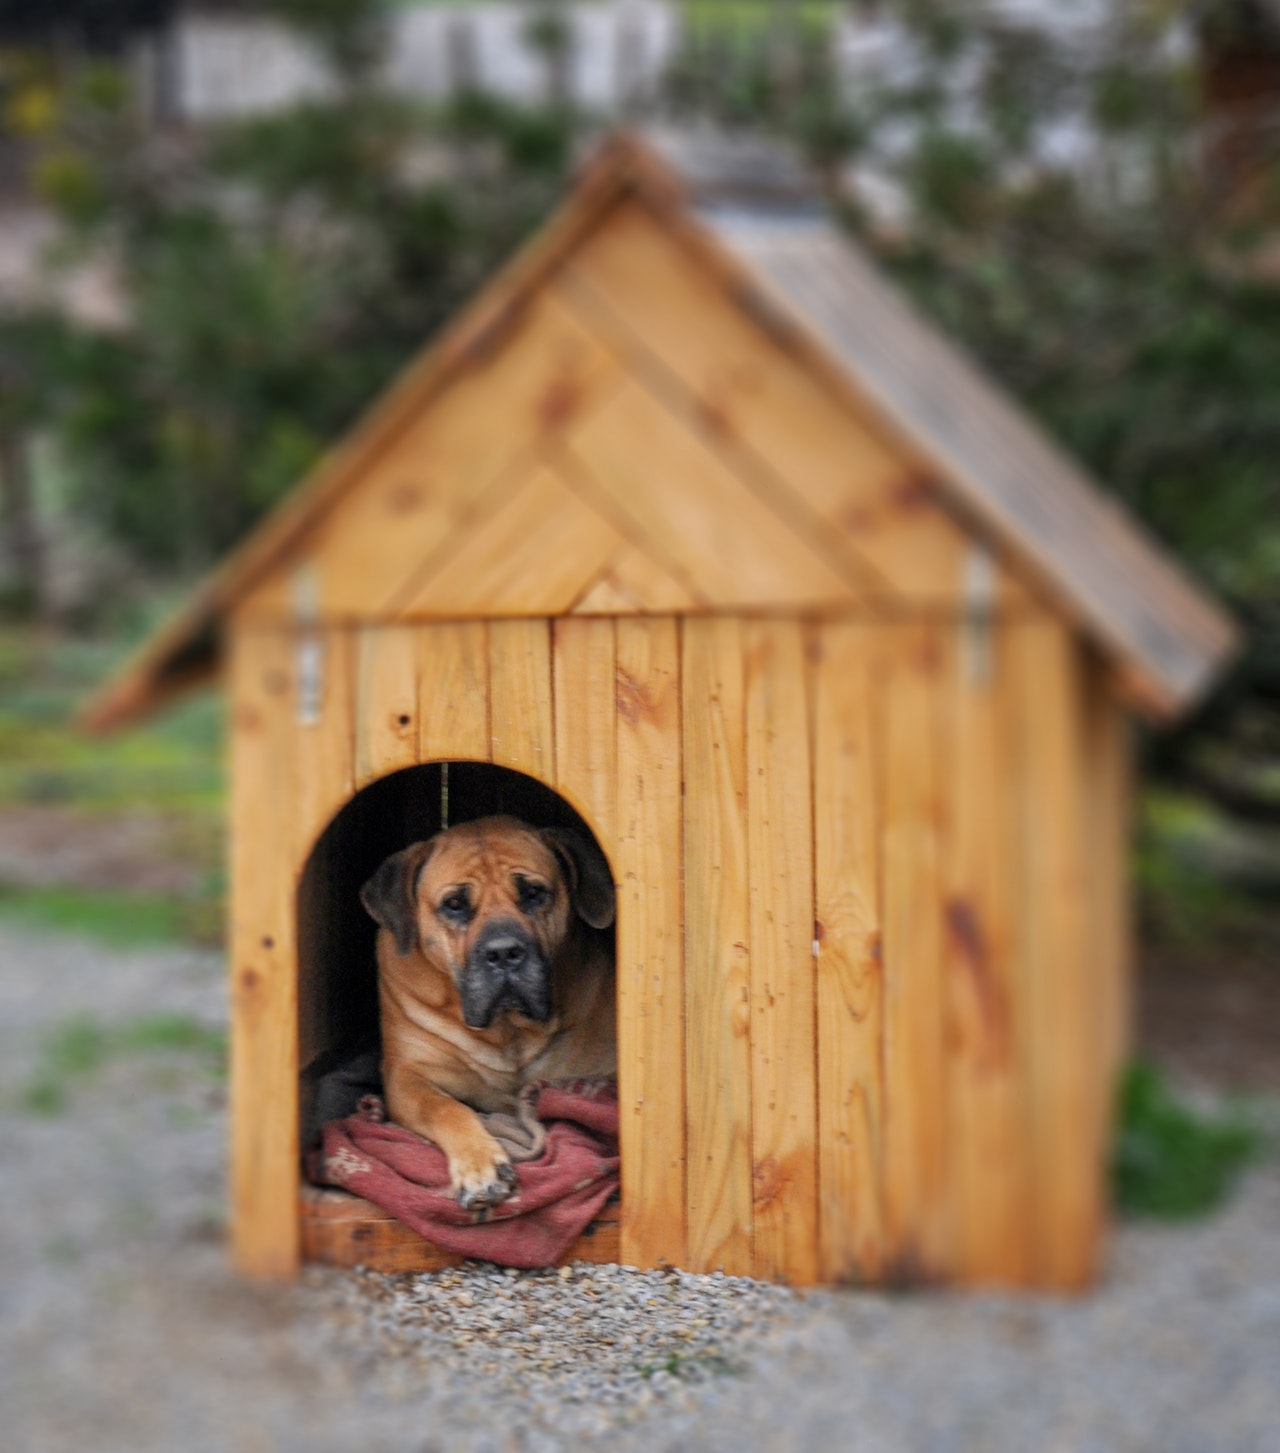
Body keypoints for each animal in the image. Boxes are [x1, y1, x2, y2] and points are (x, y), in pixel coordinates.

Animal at [357, 819, 616, 1214]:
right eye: (454, 904)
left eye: (534, 893)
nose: (504, 952)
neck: (508, 1031)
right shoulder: (406, 1076)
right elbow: (445, 1108)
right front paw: (480, 1167)